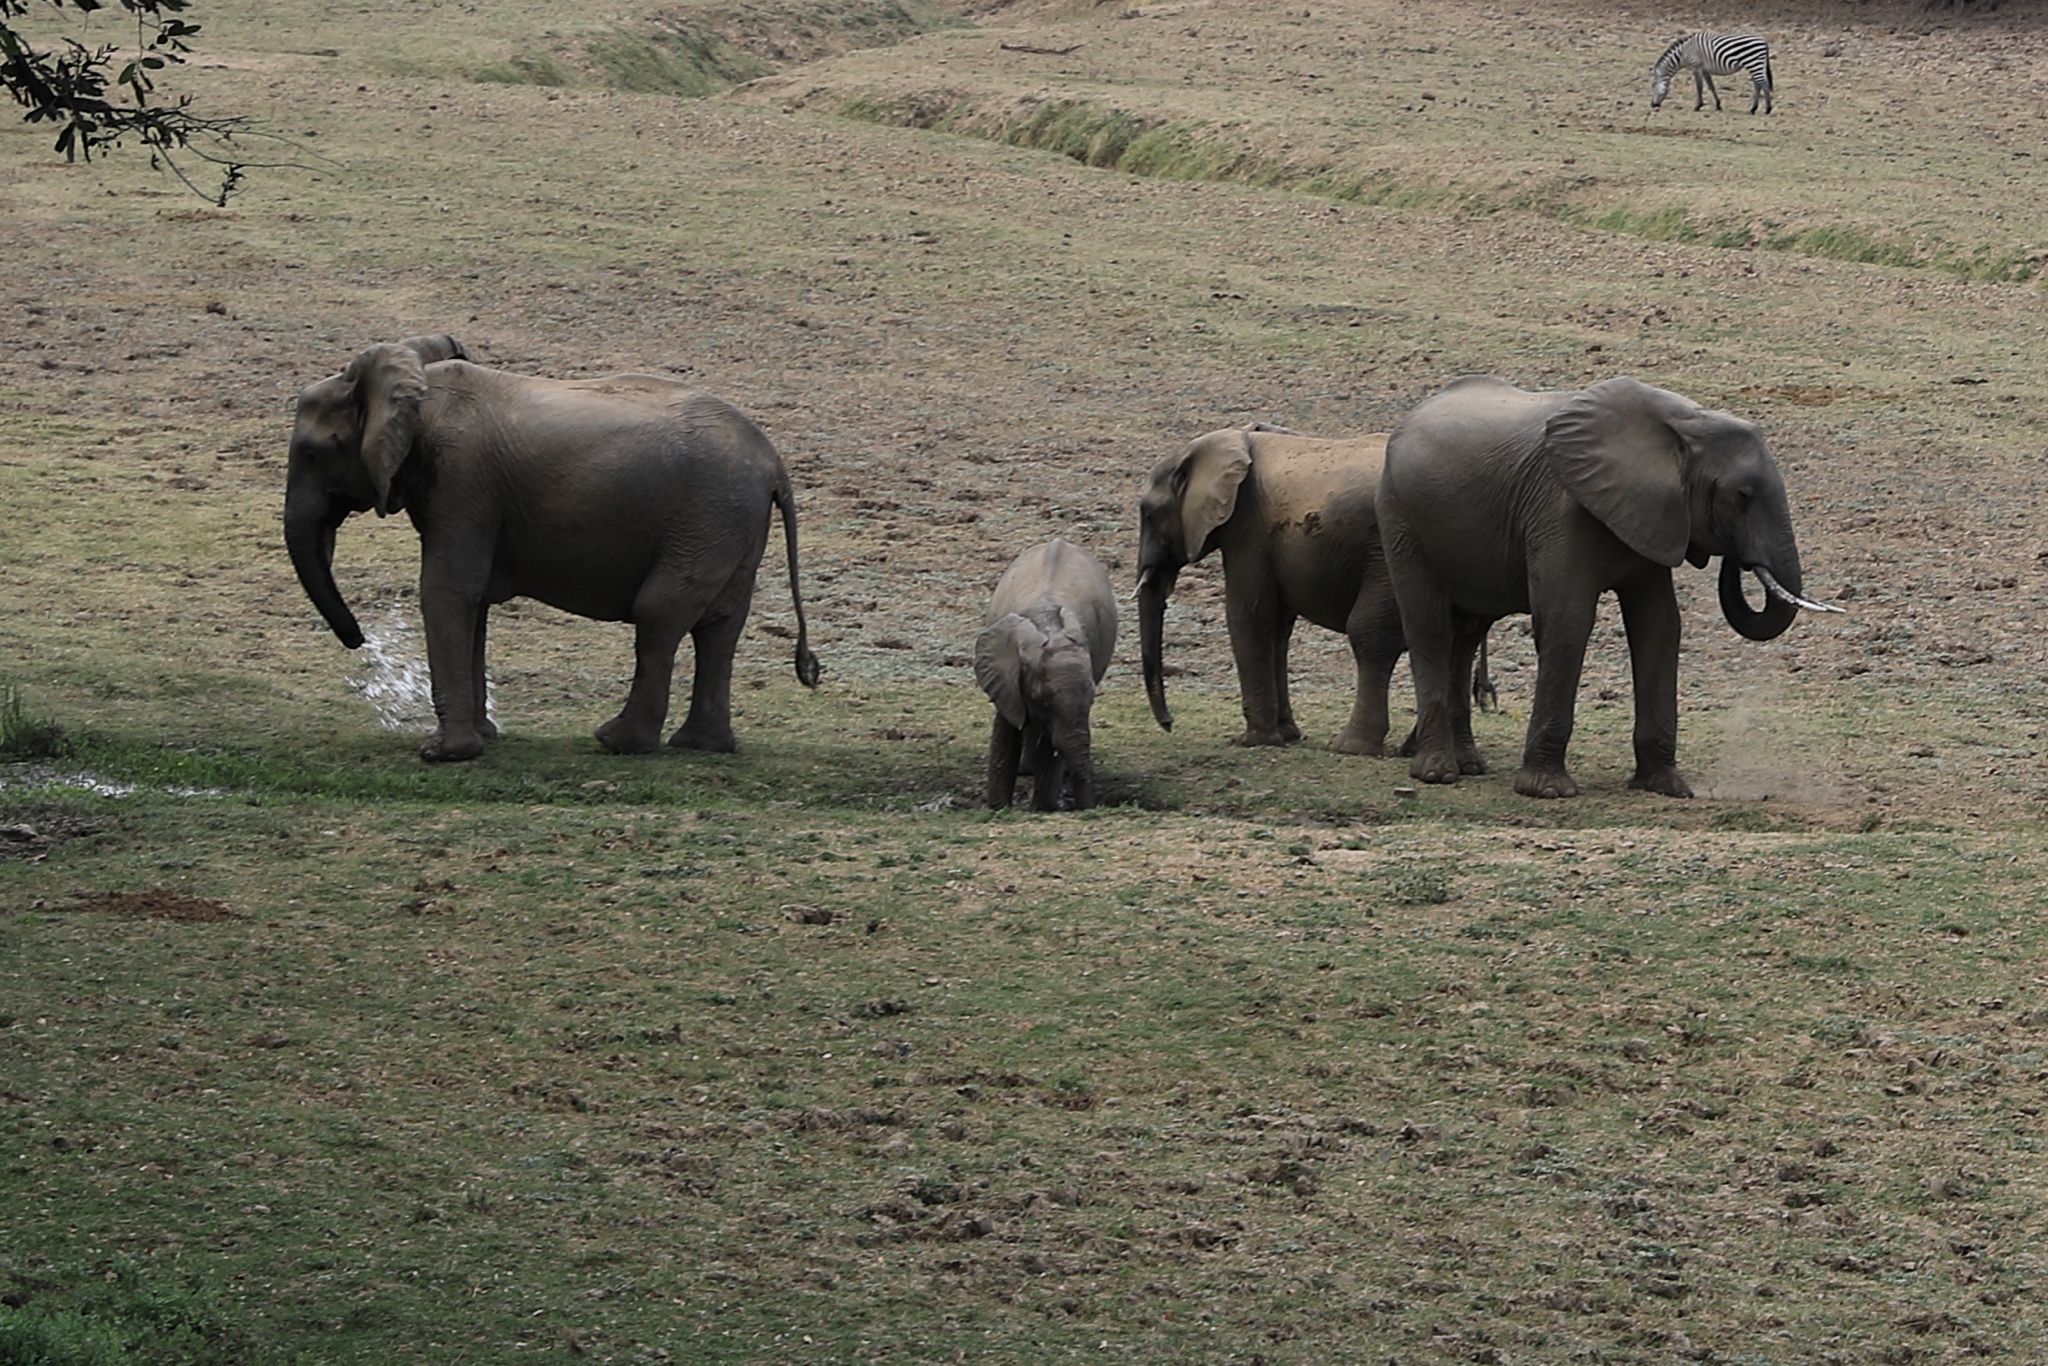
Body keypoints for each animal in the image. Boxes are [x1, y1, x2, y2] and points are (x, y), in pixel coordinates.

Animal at [282, 331, 823, 757]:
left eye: (310, 453)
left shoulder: (463, 482)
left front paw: (444, 754)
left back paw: (617, 742)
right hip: (730, 522)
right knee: (720, 625)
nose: (360, 640)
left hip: (709, 516)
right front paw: (483, 737)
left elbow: (448, 589)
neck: (417, 385)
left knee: (660, 613)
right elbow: (473, 598)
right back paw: (701, 746)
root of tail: (775, 462)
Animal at [974, 536, 1122, 810]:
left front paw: (1041, 809)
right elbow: (1006, 732)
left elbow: (1050, 745)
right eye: (1042, 701)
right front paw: (998, 808)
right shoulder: (1005, 678)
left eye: (1092, 701)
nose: (1089, 809)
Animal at [1138, 421, 1409, 753]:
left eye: (1148, 513)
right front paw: (1287, 735)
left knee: (1370, 635)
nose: (1169, 723)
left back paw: (1350, 747)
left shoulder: (1247, 528)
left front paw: (1253, 741)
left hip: (1387, 554)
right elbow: (1278, 627)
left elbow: (1249, 614)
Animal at [1376, 374, 1843, 802]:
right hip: (1401, 519)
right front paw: (1548, 791)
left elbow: (1659, 624)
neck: (1684, 423)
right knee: (1430, 626)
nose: (1738, 559)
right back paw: (1438, 773)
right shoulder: (1560, 507)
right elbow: (1568, 618)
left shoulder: (1651, 515)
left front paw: (1667, 788)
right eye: (1742, 495)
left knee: (1466, 633)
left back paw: (1470, 766)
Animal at [1646, 31, 1777, 114]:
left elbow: (1699, 87)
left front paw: (1697, 106)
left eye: (1653, 85)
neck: (1683, 53)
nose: (1652, 105)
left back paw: (1768, 109)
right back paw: (1753, 109)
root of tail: (1764, 41)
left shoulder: (1696, 67)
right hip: (1753, 64)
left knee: (1763, 84)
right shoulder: (1705, 69)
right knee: (1757, 84)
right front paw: (1718, 105)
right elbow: (1711, 86)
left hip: (1753, 62)